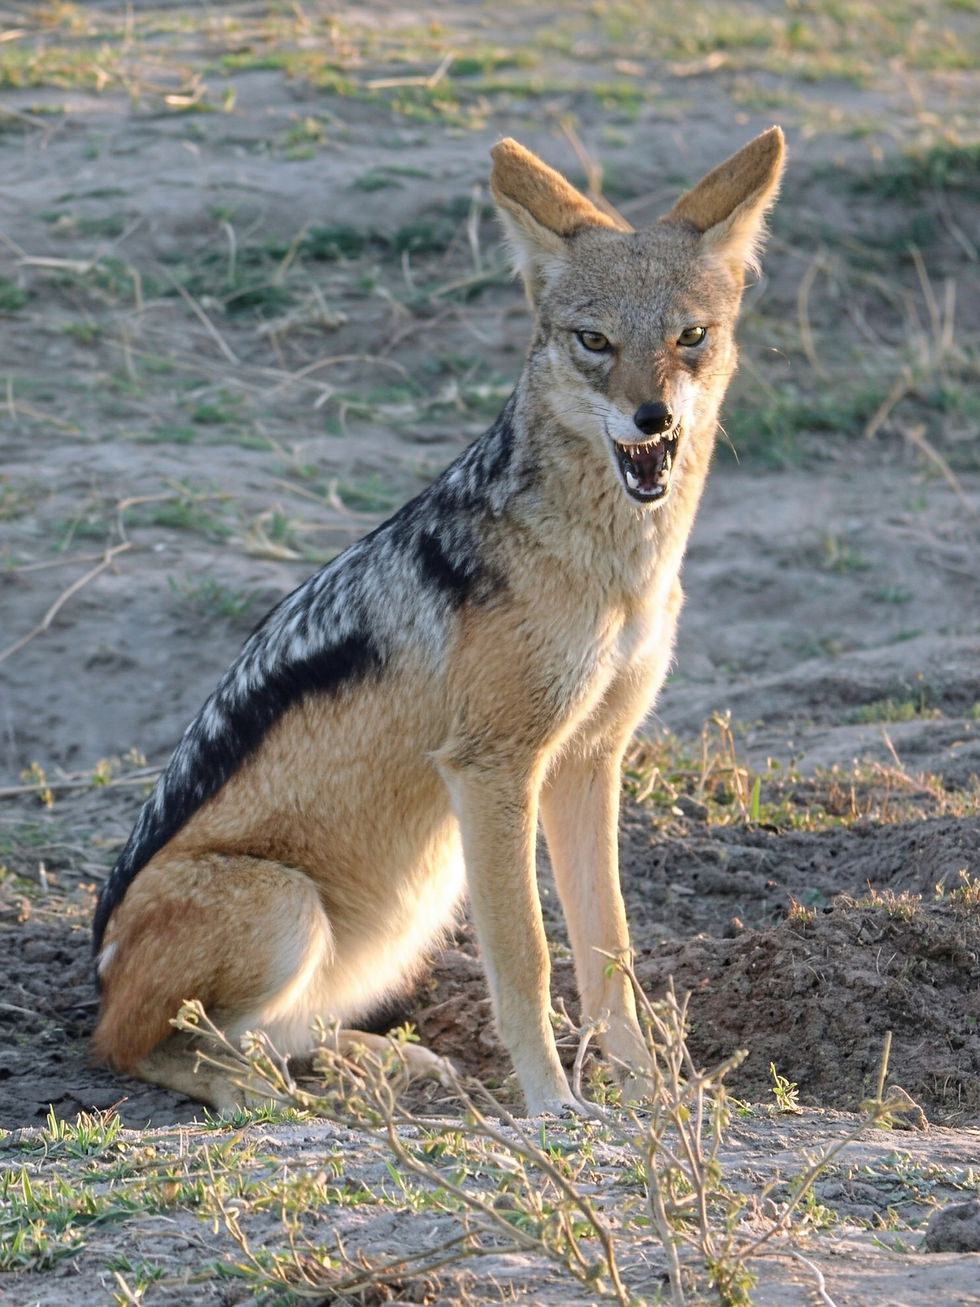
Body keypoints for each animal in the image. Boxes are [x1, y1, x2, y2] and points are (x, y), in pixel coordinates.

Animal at [92, 127, 785, 1117]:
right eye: (594, 341)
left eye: (690, 337)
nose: (651, 419)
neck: (618, 569)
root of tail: (96, 974)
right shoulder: (494, 768)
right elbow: (529, 958)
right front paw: (555, 1109)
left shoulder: (589, 758)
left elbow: (610, 956)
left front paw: (650, 1099)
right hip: (292, 905)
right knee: (151, 1047)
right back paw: (277, 1094)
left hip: (379, 930)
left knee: (279, 1032)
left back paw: (371, 1067)